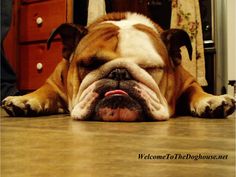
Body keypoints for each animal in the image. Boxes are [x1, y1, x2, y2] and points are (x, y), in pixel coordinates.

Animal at [2, 12, 236, 120]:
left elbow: (196, 91)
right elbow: (44, 90)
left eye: (151, 68)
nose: (119, 73)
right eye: (89, 64)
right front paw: (25, 99)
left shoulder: (188, 81)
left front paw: (211, 100)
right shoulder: (54, 82)